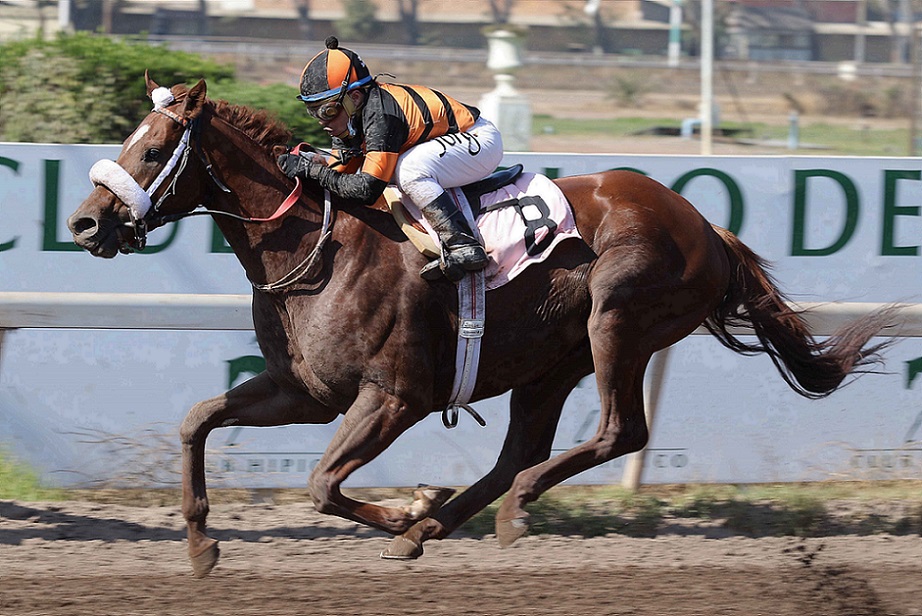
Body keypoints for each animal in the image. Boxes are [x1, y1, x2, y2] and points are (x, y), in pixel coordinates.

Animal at [67, 74, 895, 578]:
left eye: (151, 147)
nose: (84, 222)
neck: (320, 245)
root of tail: (705, 226)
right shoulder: (304, 390)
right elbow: (197, 420)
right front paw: (202, 546)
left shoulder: (392, 397)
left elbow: (321, 484)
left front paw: (407, 507)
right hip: (552, 360)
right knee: (523, 448)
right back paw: (441, 525)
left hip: (619, 322)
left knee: (617, 432)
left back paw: (504, 510)